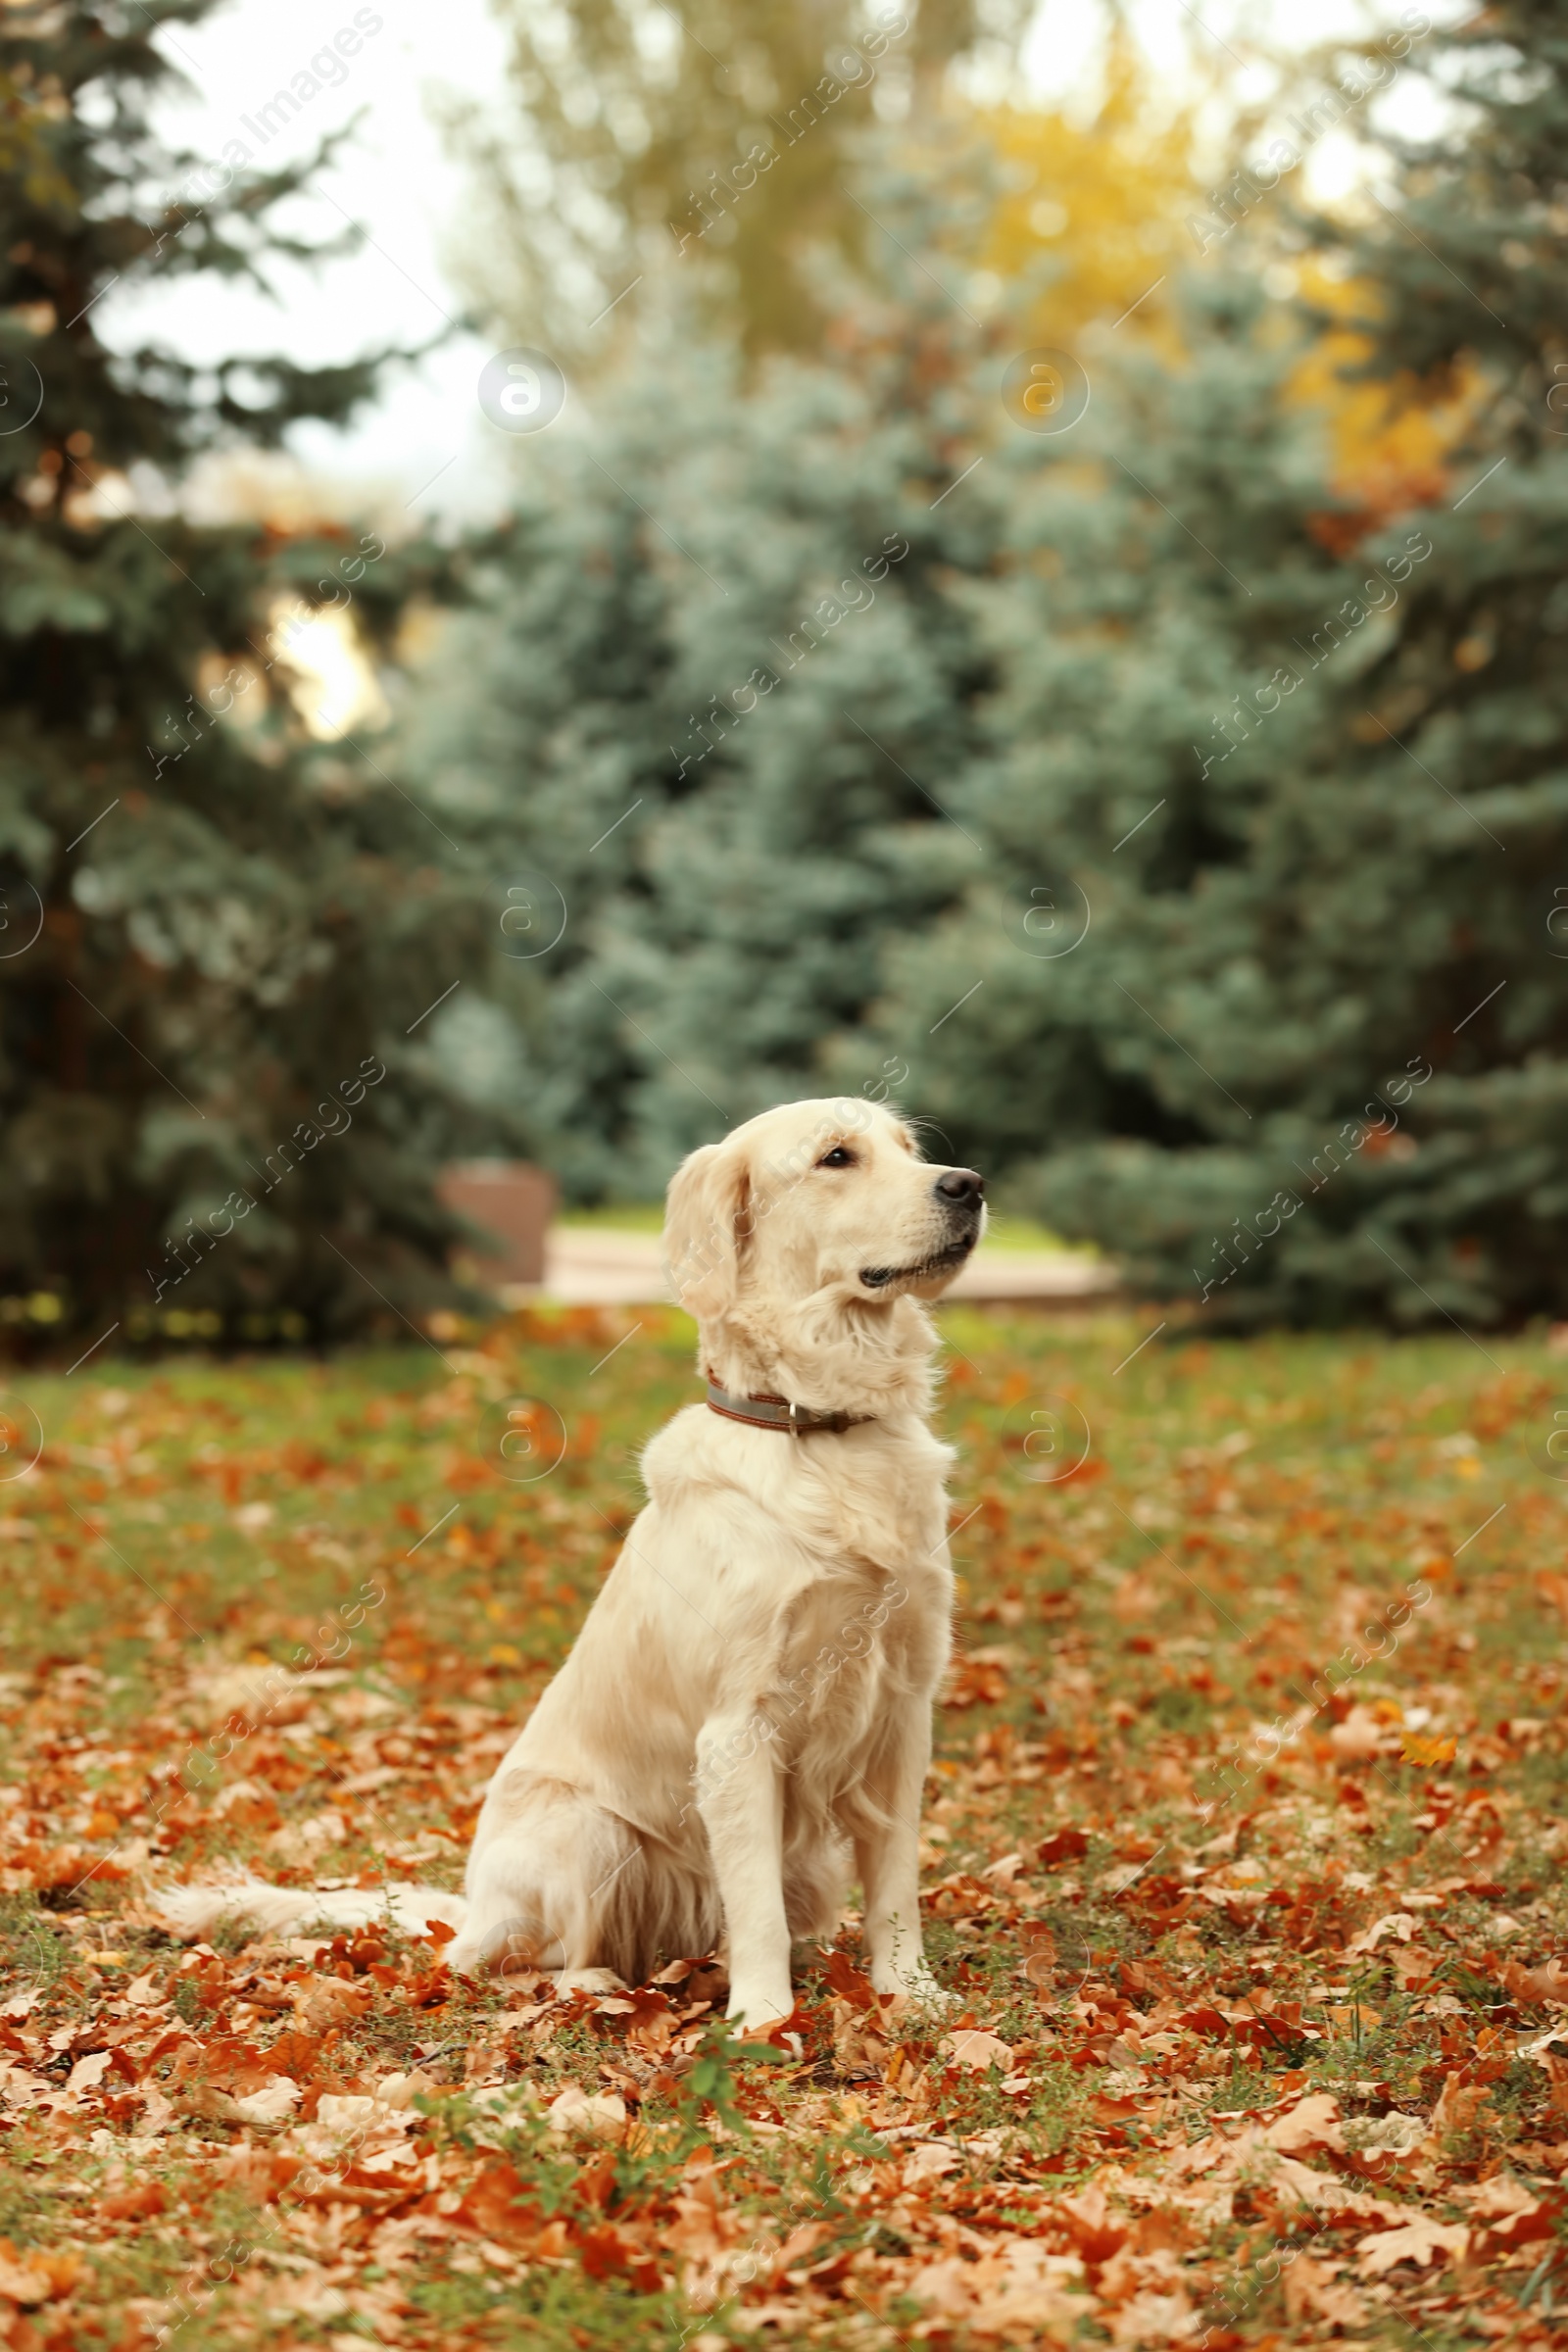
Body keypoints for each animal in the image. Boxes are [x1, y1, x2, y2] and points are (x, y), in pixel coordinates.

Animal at [162, 1091, 992, 2032]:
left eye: (908, 1149)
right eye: (836, 1157)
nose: (968, 1184)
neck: (822, 1430)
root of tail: (470, 1905)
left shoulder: (904, 1706)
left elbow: (895, 1883)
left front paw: (909, 1995)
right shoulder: (739, 1727)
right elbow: (756, 1908)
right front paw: (764, 2021)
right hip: (586, 1833)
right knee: (499, 1962)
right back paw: (593, 1988)